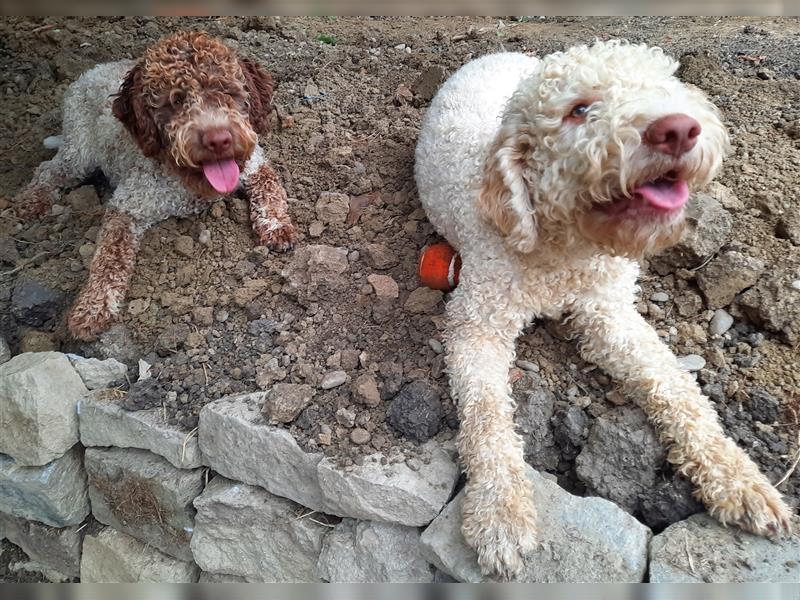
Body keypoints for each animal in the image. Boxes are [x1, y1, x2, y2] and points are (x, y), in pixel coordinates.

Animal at [416, 39, 792, 580]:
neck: (566, 248)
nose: (679, 128)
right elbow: (485, 415)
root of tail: (498, 52)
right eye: (578, 110)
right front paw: (500, 513)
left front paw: (739, 478)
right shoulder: (477, 323)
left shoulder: (610, 313)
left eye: (666, 85)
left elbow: (674, 384)